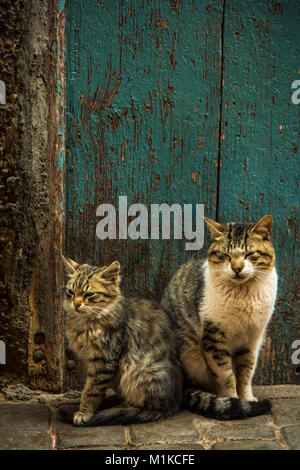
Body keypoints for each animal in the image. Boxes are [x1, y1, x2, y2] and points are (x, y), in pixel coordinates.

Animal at [60, 258, 183, 426]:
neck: (85, 323)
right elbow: (91, 388)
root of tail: (173, 404)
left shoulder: (104, 360)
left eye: (89, 294)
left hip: (140, 374)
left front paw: (85, 412)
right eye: (71, 292)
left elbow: (91, 391)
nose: (76, 304)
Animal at [162, 215, 276, 420]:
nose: (237, 268)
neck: (244, 293)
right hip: (191, 355)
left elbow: (246, 372)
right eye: (225, 255)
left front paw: (247, 398)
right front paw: (233, 400)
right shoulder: (214, 337)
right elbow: (226, 375)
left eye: (250, 254)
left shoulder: (253, 338)